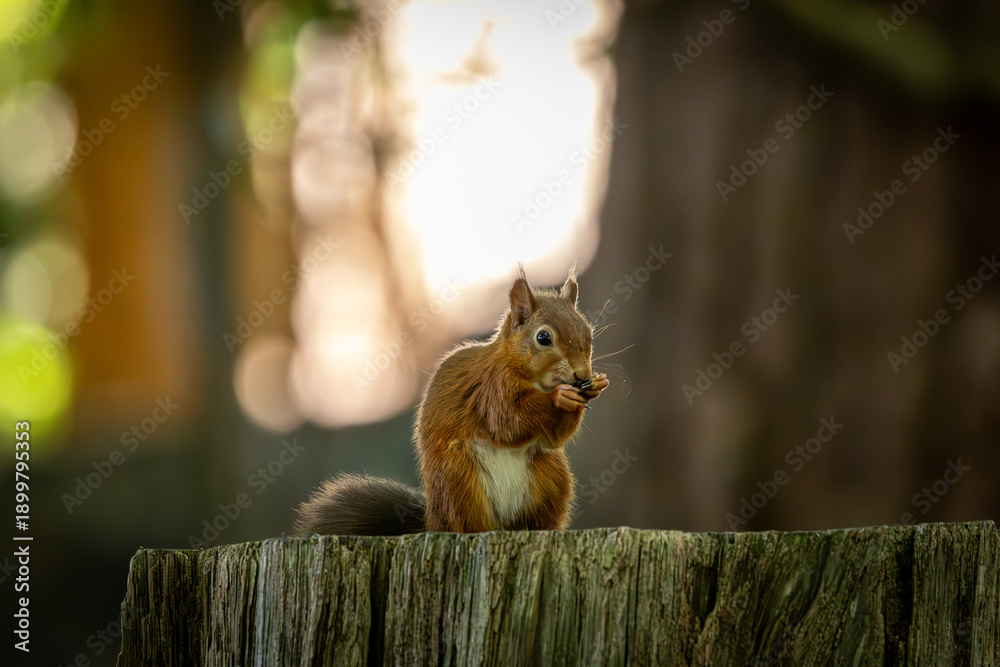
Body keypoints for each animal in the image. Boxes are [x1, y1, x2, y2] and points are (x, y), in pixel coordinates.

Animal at [294, 266, 609, 535]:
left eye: (588, 333)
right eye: (543, 337)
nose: (583, 374)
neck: (528, 373)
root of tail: (433, 522)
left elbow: (551, 439)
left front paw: (594, 387)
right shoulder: (491, 388)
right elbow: (507, 423)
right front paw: (560, 396)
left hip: (551, 475)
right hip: (459, 477)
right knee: (466, 524)